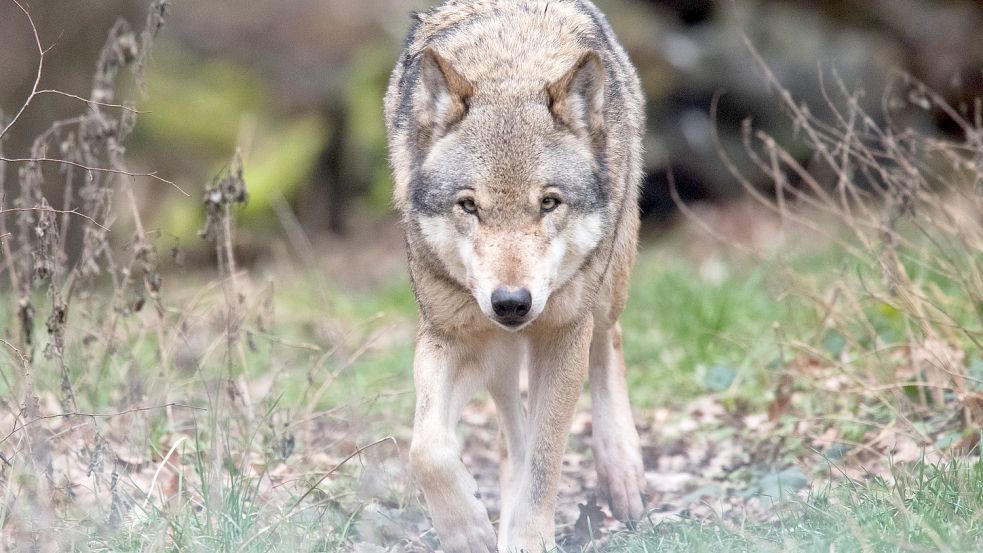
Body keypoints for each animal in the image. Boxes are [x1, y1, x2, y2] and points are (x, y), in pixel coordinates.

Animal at [382, 2, 644, 548]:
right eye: (469, 206)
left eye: (548, 202)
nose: (511, 302)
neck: (510, 67)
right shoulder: (450, 334)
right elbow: (427, 449)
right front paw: (468, 532)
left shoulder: (563, 333)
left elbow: (546, 462)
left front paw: (526, 539)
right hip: (497, 351)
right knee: (510, 426)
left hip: (605, 289)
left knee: (609, 341)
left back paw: (623, 472)